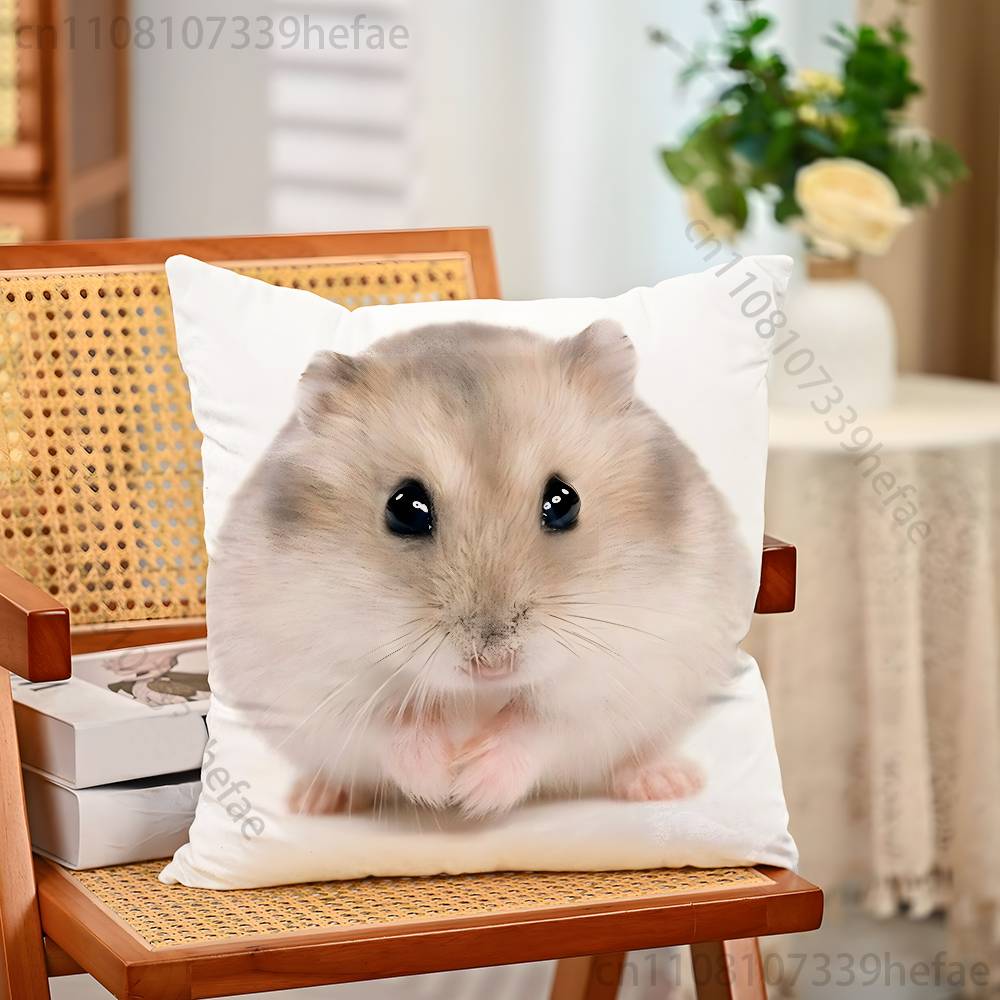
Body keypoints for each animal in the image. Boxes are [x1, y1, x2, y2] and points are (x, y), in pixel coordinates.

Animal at [208, 319, 754, 818]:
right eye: (405, 509)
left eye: (564, 502)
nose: (493, 665)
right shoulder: (313, 678)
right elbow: (389, 725)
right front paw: (441, 782)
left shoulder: (627, 670)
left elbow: (543, 723)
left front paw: (471, 785)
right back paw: (314, 801)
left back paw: (667, 783)